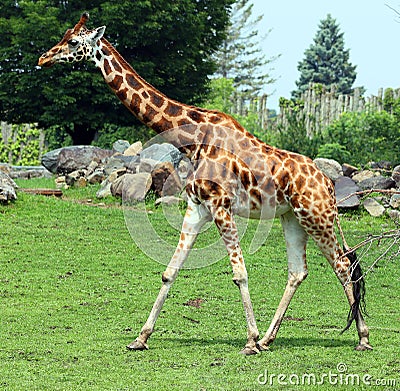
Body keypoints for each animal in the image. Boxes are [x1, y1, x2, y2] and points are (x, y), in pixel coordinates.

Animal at [38, 13, 372, 356]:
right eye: (64, 35)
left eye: (73, 42)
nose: (43, 59)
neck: (192, 137)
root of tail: (329, 183)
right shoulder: (197, 206)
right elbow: (170, 271)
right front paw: (140, 338)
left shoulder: (220, 205)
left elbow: (239, 273)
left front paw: (249, 341)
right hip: (292, 217)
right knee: (298, 271)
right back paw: (270, 339)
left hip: (316, 216)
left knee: (343, 265)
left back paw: (361, 338)